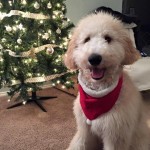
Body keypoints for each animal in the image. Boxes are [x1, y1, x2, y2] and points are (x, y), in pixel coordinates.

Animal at [63, 11, 149, 150]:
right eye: (87, 39)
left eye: (108, 38)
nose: (94, 58)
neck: (97, 96)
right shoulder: (84, 130)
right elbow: (78, 143)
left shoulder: (116, 135)